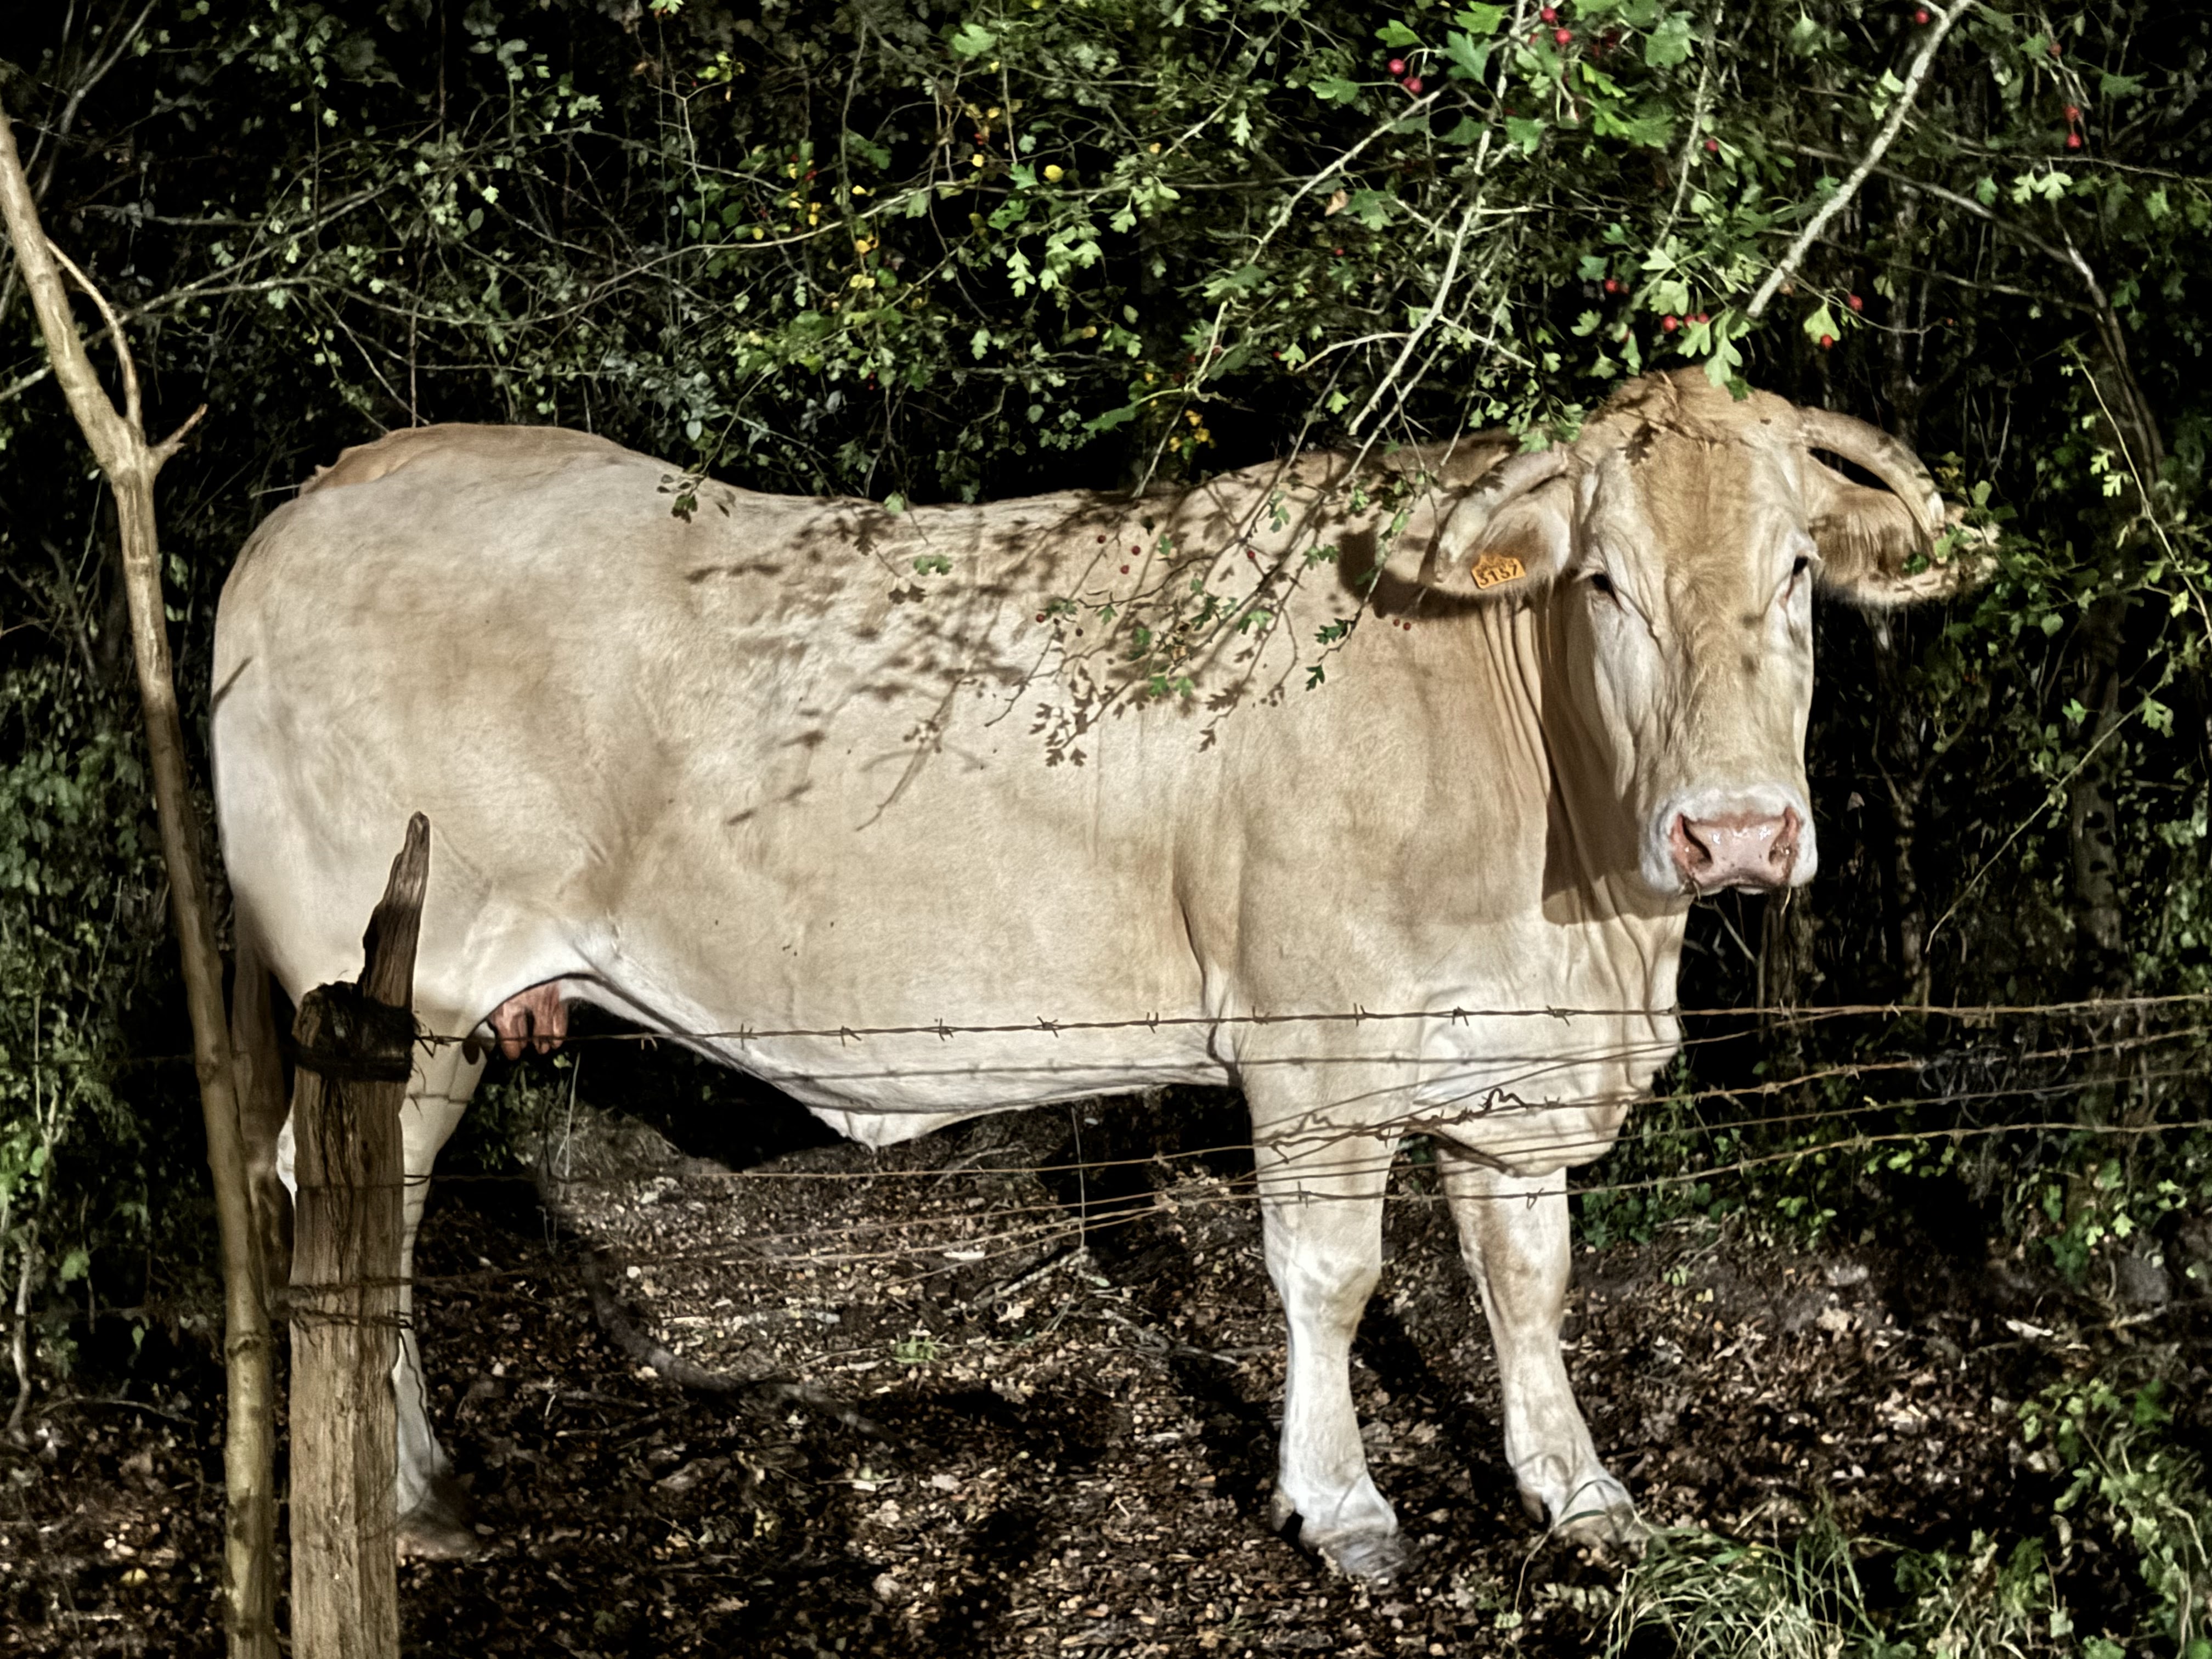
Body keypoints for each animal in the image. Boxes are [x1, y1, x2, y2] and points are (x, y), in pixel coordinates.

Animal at [213, 368, 1973, 1575]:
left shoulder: (1510, 1064)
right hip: (388, 991)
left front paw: (1580, 1487)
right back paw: (387, 1491)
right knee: (344, 1205)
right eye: (1602, 581)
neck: (1585, 907)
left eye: (1798, 572)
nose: (1734, 831)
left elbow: (1528, 1277)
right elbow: (1334, 1280)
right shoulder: (1318, 1048)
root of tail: (333, 487)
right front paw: (1342, 1505)